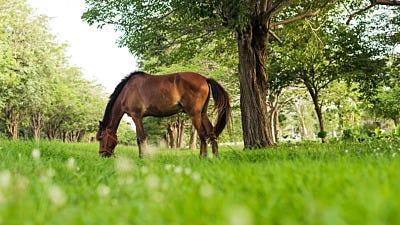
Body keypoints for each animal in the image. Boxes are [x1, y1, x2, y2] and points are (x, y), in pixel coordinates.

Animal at [96, 71, 231, 157]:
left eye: (101, 138)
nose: (103, 155)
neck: (127, 91)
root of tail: (205, 78)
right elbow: (139, 138)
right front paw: (141, 156)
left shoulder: (136, 116)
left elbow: (141, 137)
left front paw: (143, 157)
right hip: (203, 114)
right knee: (211, 133)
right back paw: (215, 156)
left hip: (194, 114)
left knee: (202, 134)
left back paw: (202, 157)